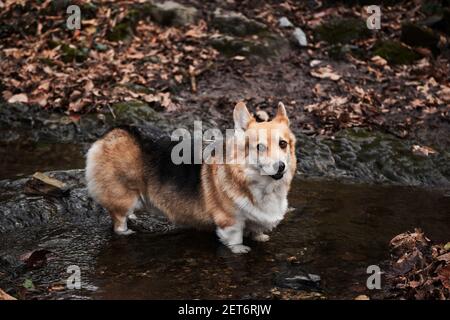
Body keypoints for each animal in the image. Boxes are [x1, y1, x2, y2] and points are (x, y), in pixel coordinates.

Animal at [85, 102, 298, 252]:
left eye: (283, 144)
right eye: (259, 147)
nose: (281, 167)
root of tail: (115, 131)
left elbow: (257, 230)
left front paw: (260, 237)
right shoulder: (230, 222)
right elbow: (234, 239)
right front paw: (240, 249)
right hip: (123, 197)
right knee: (119, 220)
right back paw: (126, 231)